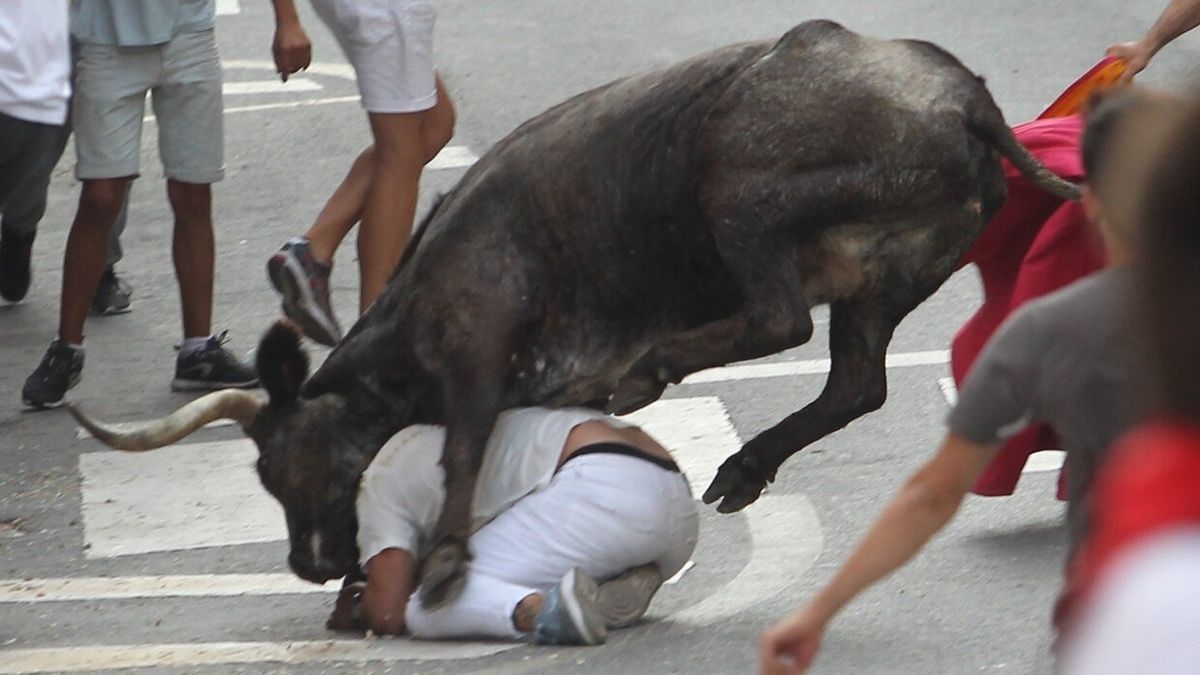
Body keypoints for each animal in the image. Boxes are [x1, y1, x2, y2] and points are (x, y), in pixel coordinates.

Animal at [70, 20, 1079, 609]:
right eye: (263, 476)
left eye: (286, 463)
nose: (312, 563)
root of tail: (964, 97)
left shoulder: (478, 343)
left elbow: (465, 445)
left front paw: (445, 560)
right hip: (886, 280)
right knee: (855, 384)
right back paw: (742, 463)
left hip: (740, 196)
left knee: (781, 319)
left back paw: (656, 367)